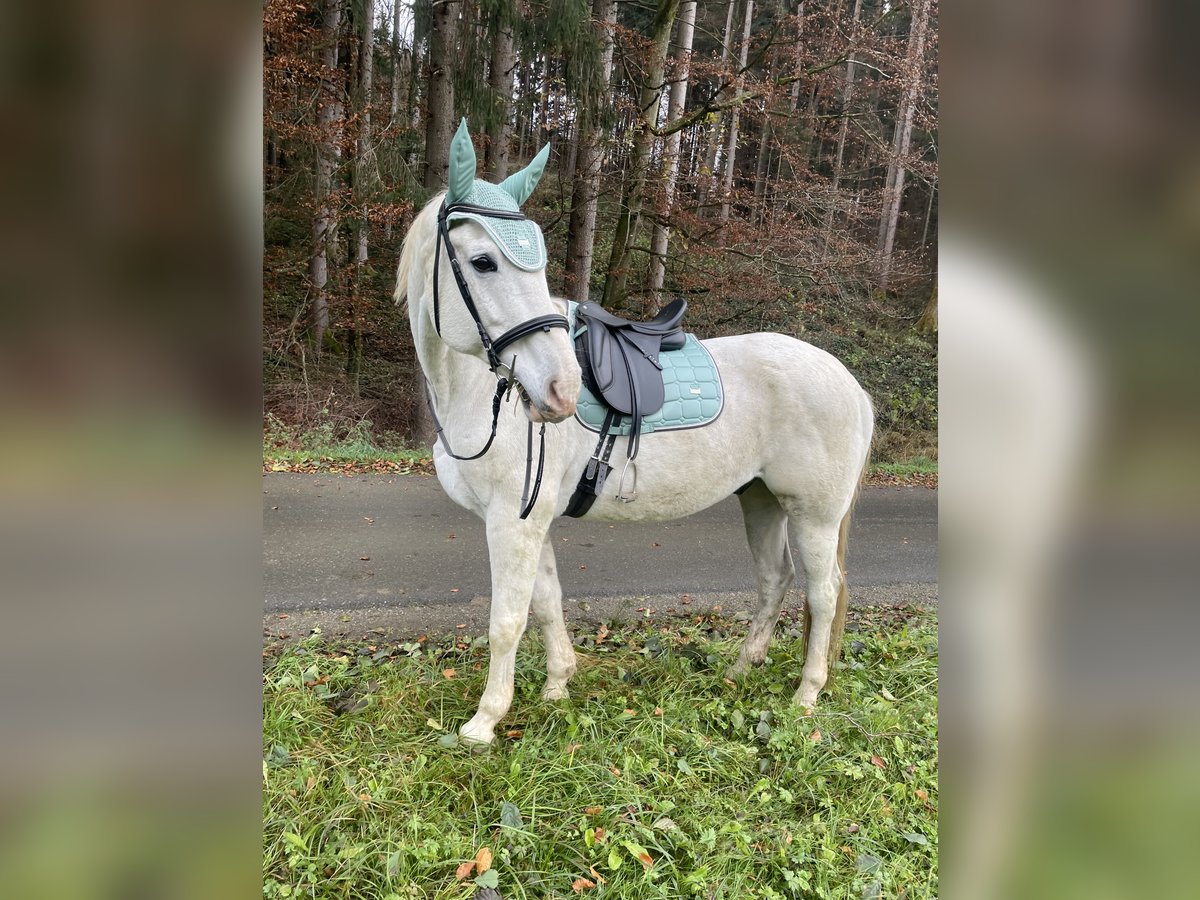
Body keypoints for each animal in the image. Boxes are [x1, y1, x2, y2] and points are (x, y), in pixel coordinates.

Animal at [393, 121, 873, 748]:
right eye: (483, 262)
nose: (560, 391)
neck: (475, 393)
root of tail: (850, 383)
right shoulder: (530, 521)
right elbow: (547, 603)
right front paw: (557, 687)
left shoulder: (510, 523)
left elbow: (508, 620)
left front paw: (485, 721)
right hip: (762, 501)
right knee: (775, 580)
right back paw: (740, 670)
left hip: (812, 515)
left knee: (823, 592)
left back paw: (806, 696)